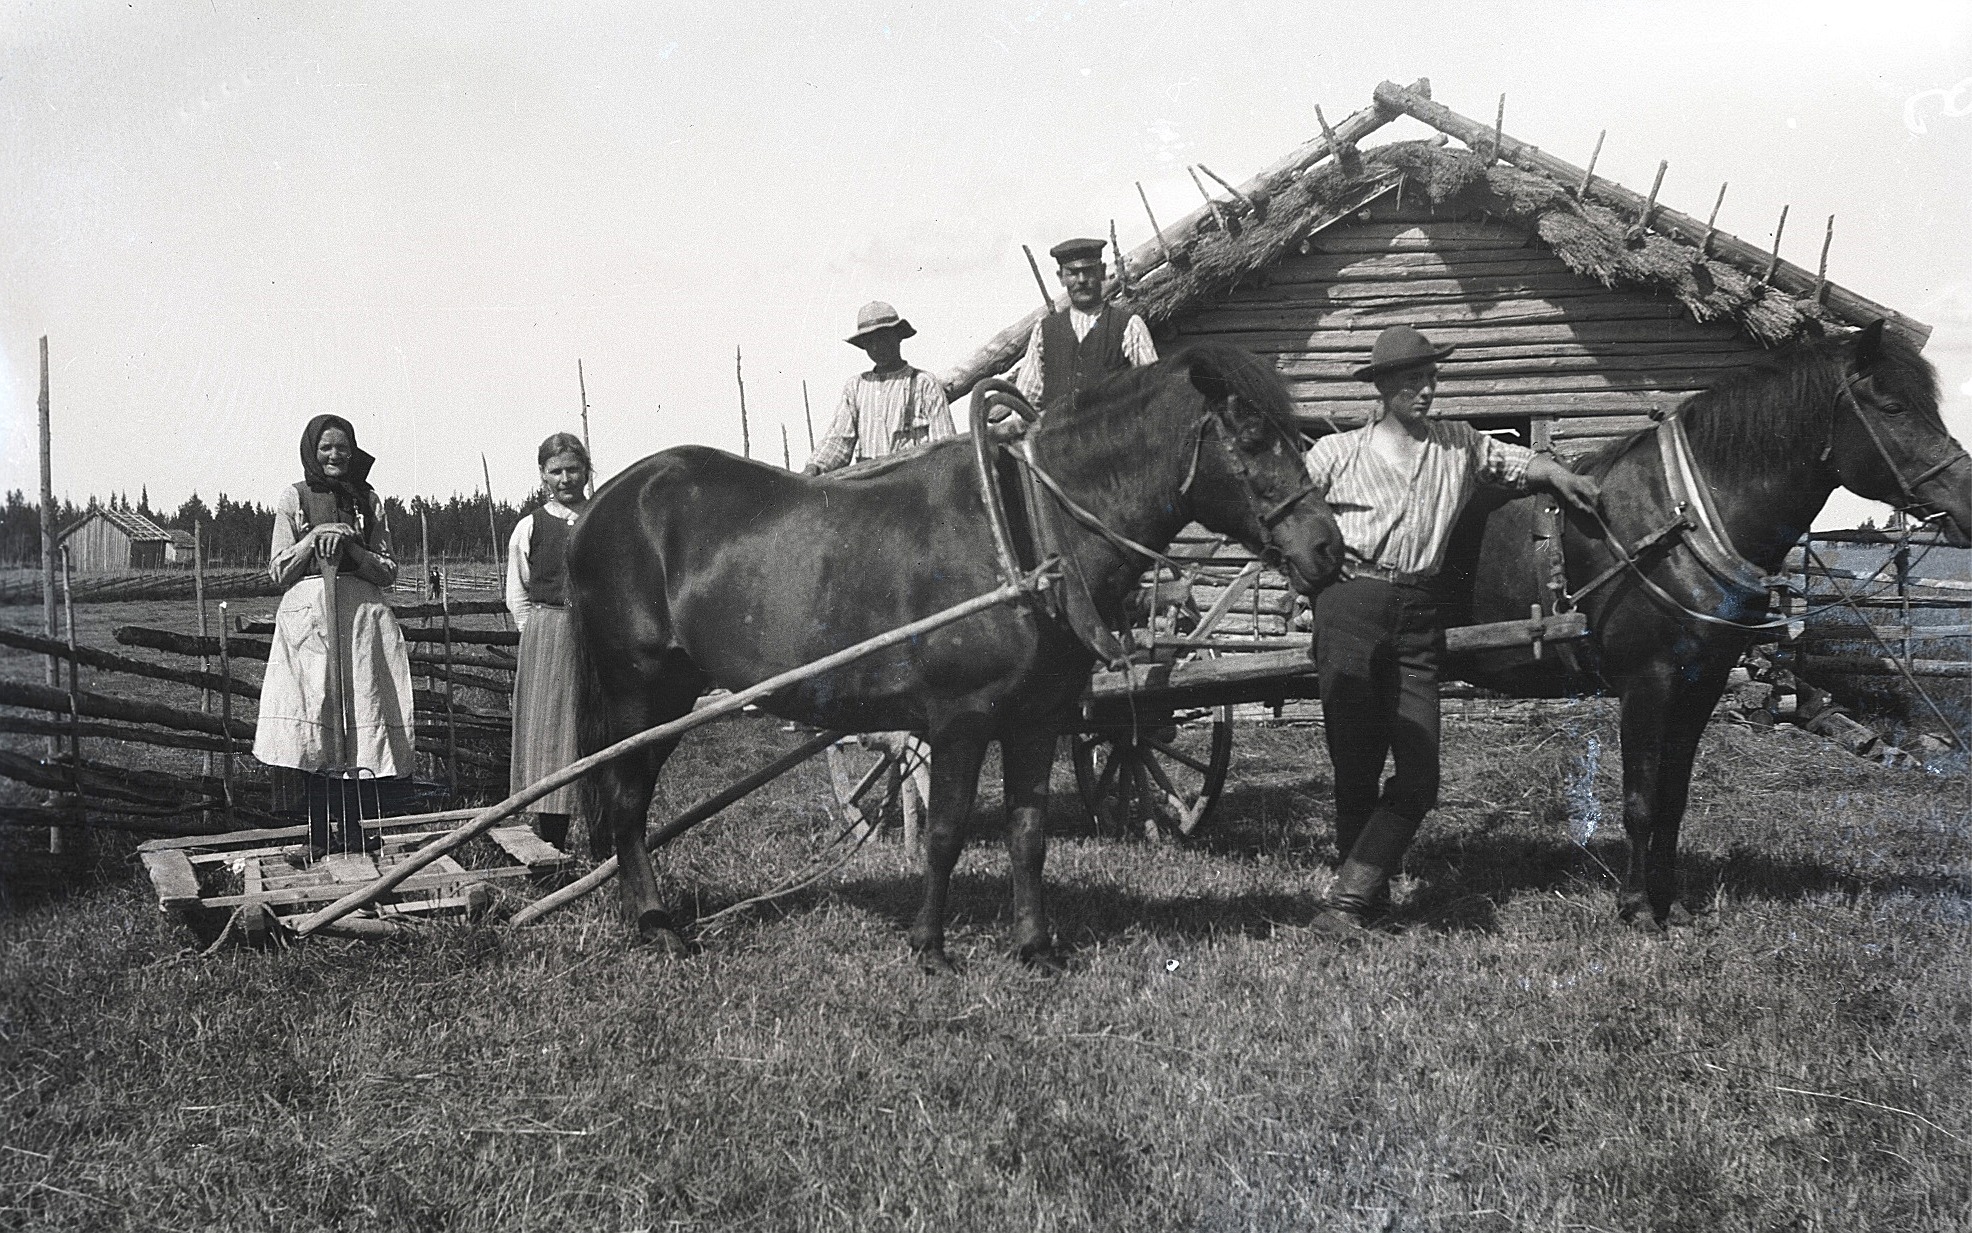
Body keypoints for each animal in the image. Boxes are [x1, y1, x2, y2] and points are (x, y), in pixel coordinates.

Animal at [563, 343, 1348, 970]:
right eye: (1253, 437)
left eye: (1297, 436)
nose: (1327, 549)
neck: (1026, 532)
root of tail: (604, 501)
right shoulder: (958, 722)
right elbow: (943, 833)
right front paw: (931, 948)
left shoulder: (1036, 721)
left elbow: (1028, 834)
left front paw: (1034, 948)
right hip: (643, 690)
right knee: (627, 802)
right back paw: (657, 925)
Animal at [1443, 321, 1964, 927]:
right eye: (1894, 407)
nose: (1967, 501)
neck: (1679, 522)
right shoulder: (1648, 682)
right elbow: (1641, 801)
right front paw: (1637, 908)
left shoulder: (1701, 683)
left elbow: (1673, 800)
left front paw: (1670, 903)